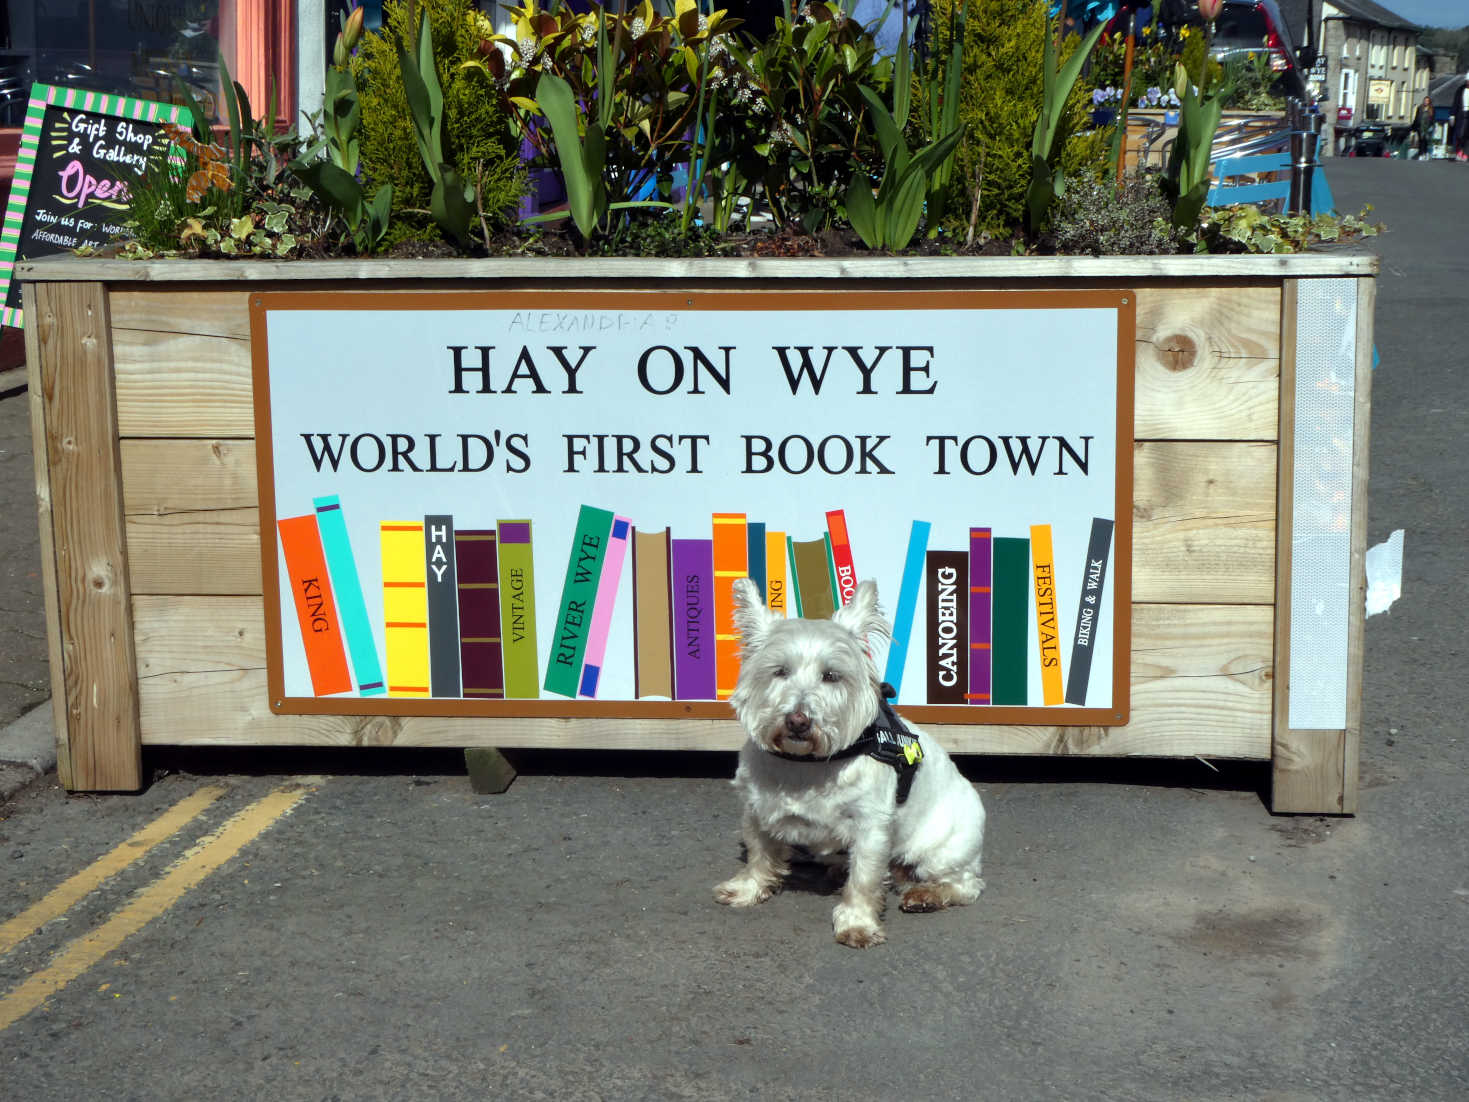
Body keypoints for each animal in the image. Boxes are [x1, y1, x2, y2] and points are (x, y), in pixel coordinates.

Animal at [713, 578, 987, 952]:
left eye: (832, 675)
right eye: (779, 671)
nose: (798, 720)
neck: (806, 764)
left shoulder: (871, 826)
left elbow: (864, 877)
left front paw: (857, 923)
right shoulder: (756, 807)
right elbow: (759, 852)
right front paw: (748, 888)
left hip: (941, 848)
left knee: (966, 883)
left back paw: (925, 894)